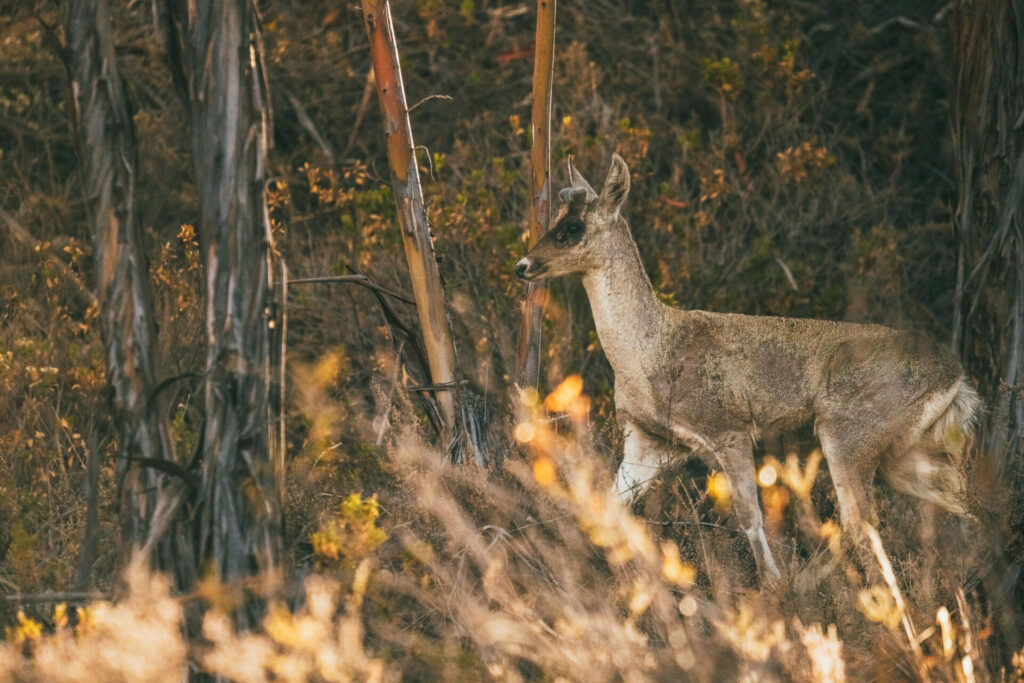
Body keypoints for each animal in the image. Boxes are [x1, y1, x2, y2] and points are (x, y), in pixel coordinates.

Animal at [516, 153, 978, 581]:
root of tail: (957, 379)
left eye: (572, 229)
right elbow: (606, 508)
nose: (523, 266)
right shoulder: (646, 442)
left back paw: (804, 589)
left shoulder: (729, 428)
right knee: (967, 508)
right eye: (555, 220)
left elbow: (750, 518)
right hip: (906, 452)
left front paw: (771, 585)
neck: (649, 355)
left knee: (860, 522)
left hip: (850, 432)